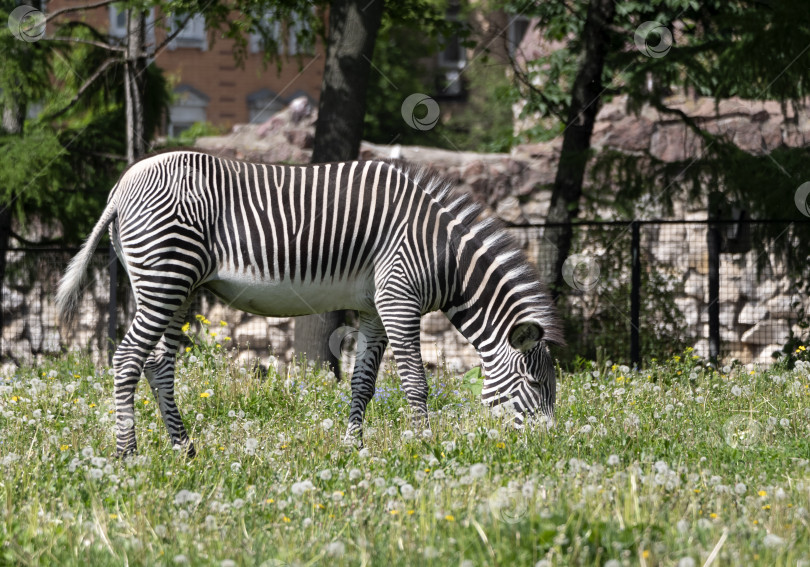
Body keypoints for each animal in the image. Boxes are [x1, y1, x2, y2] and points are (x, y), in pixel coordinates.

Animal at [58, 150, 560, 458]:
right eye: (535, 386)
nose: (546, 450)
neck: (442, 253)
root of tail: (121, 187)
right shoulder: (399, 298)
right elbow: (416, 382)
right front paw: (425, 446)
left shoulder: (375, 308)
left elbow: (362, 383)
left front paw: (353, 447)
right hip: (166, 276)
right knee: (127, 358)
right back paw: (128, 454)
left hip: (173, 288)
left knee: (158, 364)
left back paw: (185, 450)